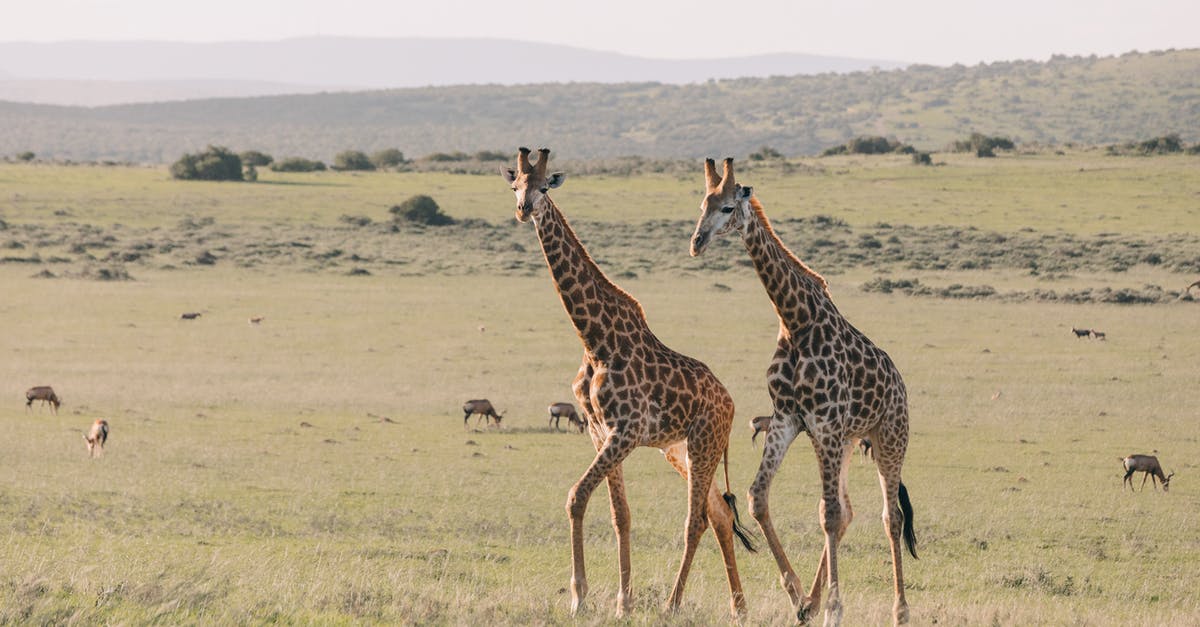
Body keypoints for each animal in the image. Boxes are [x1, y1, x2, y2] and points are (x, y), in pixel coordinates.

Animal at [502, 147, 757, 618]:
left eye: (544, 186)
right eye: (514, 186)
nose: (523, 209)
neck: (593, 339)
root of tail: (731, 403)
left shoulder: (626, 430)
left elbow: (576, 497)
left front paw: (580, 598)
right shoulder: (599, 430)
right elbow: (621, 514)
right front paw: (622, 601)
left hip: (704, 443)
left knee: (697, 518)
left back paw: (676, 604)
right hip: (682, 450)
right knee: (719, 513)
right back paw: (739, 607)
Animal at [688, 158, 918, 626]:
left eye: (727, 207)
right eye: (702, 204)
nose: (696, 243)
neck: (795, 320)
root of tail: (900, 386)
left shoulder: (824, 423)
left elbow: (827, 514)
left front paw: (834, 608)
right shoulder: (788, 418)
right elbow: (758, 498)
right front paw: (797, 595)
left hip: (889, 438)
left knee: (891, 516)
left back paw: (900, 609)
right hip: (847, 441)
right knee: (848, 511)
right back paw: (813, 600)